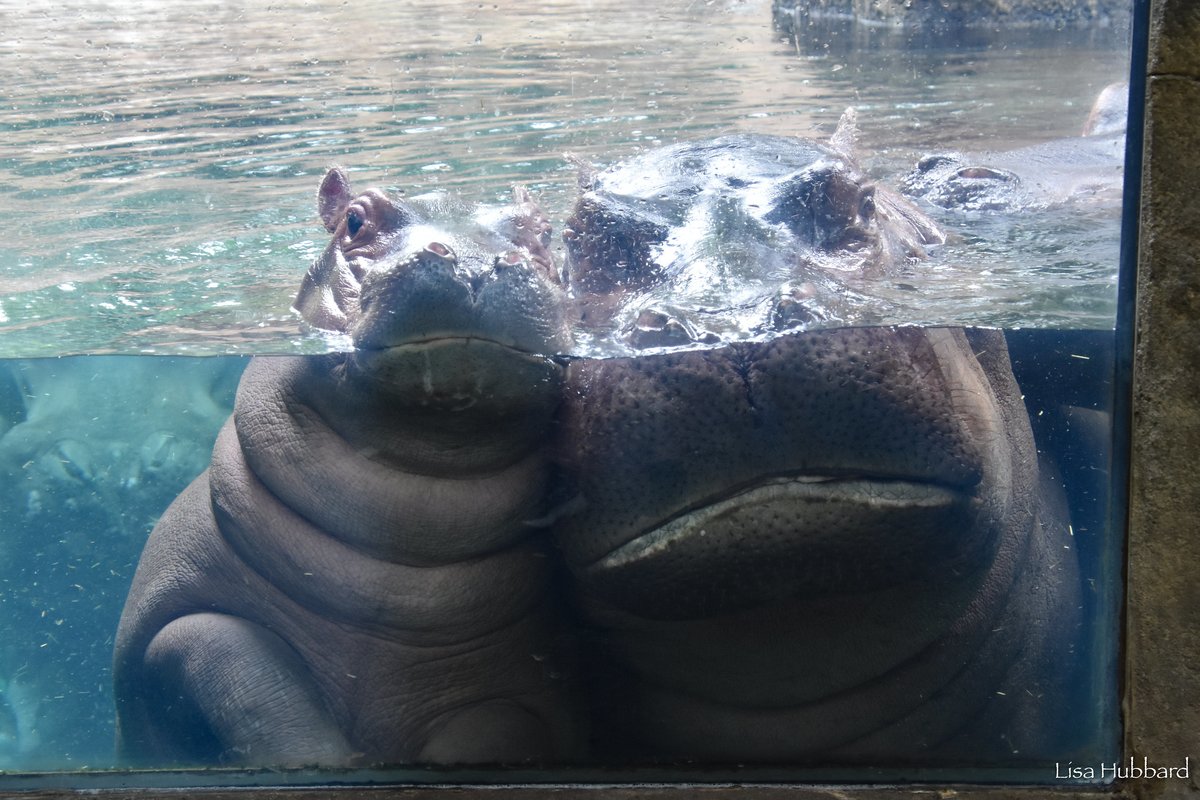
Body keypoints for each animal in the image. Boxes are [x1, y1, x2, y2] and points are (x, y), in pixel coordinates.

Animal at [113, 168, 583, 768]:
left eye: (546, 230)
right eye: (355, 221)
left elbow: (493, 728)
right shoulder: (175, 623)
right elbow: (244, 679)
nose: (476, 263)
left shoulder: (527, 689)